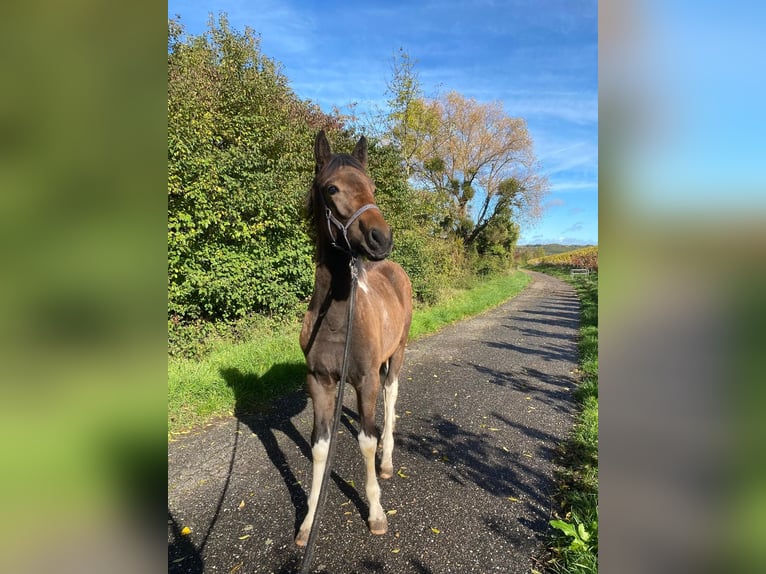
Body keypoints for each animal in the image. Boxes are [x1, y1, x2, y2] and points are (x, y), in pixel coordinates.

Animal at [295, 130, 413, 547]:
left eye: (372, 186)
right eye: (332, 188)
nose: (381, 238)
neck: (337, 321)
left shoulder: (365, 380)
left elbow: (366, 440)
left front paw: (376, 513)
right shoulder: (320, 382)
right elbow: (319, 448)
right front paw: (308, 521)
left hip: (397, 355)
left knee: (391, 399)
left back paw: (388, 461)